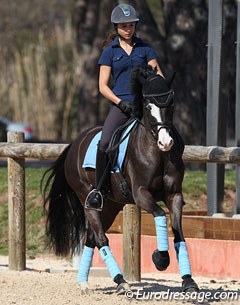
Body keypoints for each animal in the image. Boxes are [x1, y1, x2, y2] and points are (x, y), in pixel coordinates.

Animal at [42, 65, 199, 294]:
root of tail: (75, 143)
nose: (166, 143)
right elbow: (160, 214)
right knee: (100, 237)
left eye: (170, 104)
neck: (157, 154)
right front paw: (160, 258)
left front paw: (188, 282)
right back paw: (120, 281)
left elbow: (179, 234)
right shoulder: (141, 194)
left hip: (111, 204)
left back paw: (85, 282)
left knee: (91, 239)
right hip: (88, 199)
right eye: (147, 105)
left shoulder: (174, 195)